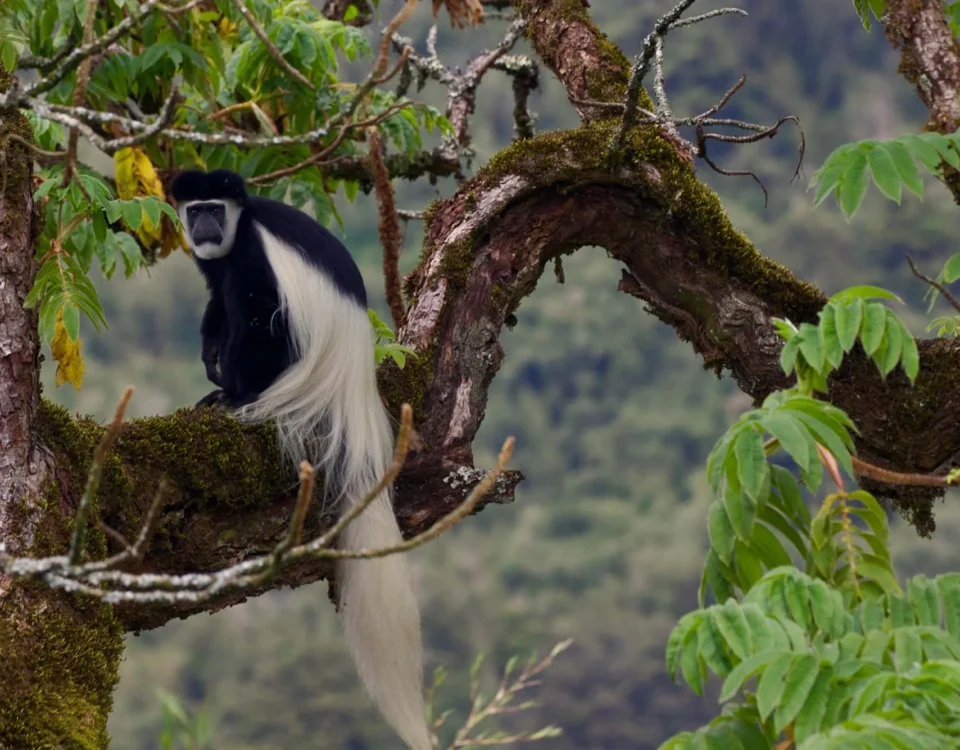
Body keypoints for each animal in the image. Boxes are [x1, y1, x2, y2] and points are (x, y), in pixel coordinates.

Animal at [171, 170, 430, 750]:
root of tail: (351, 386)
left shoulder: (250, 255)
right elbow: (214, 300)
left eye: (215, 210)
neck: (239, 226)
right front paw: (206, 351)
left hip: (293, 364)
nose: (203, 226)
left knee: (258, 320)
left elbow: (251, 308)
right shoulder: (214, 261)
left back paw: (235, 395)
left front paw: (227, 384)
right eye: (195, 209)